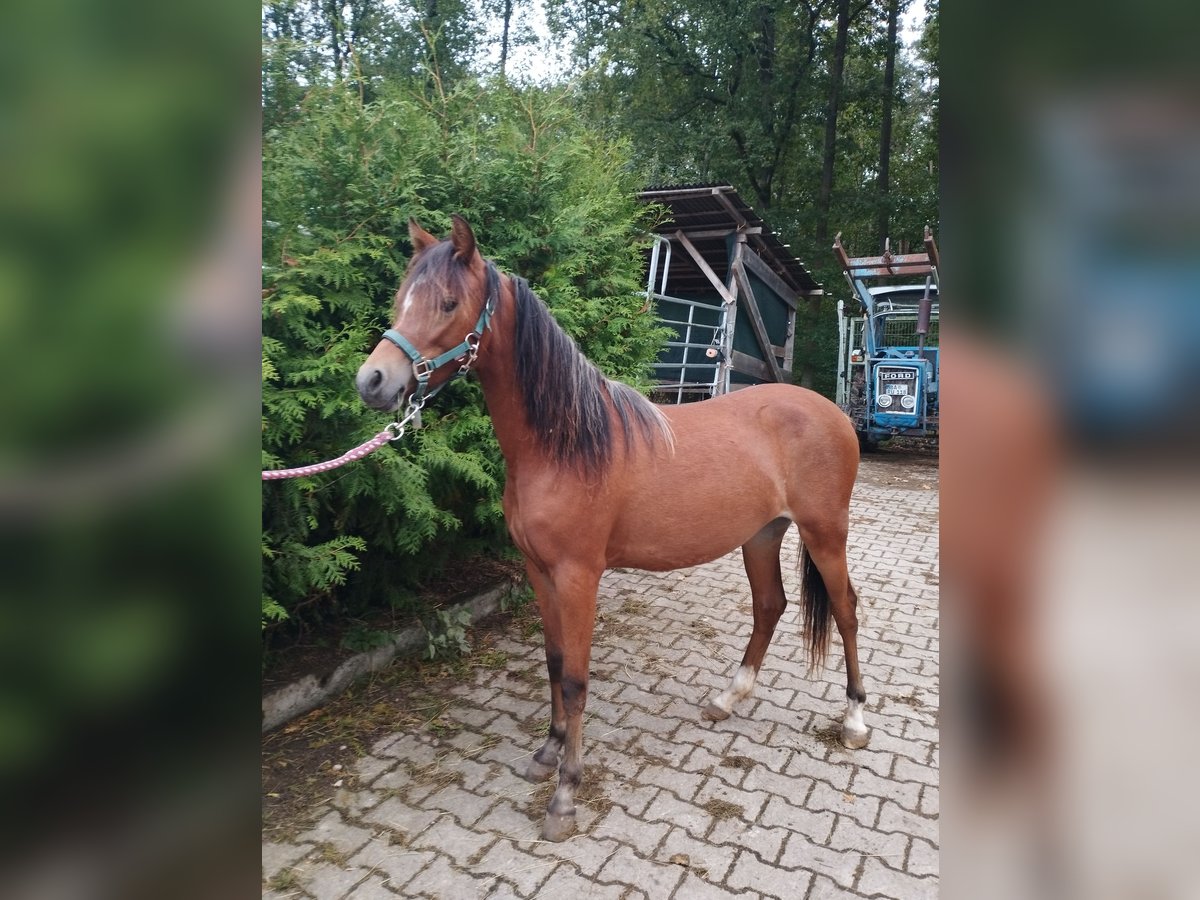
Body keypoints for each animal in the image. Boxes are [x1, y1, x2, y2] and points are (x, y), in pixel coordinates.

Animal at [350, 218, 868, 844]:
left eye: (448, 303)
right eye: (402, 297)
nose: (373, 381)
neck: (565, 445)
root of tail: (831, 413)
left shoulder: (579, 577)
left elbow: (575, 679)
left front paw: (565, 796)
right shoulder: (539, 572)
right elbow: (553, 662)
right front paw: (546, 754)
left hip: (825, 534)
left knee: (845, 610)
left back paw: (854, 720)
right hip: (762, 536)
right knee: (770, 605)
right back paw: (727, 698)